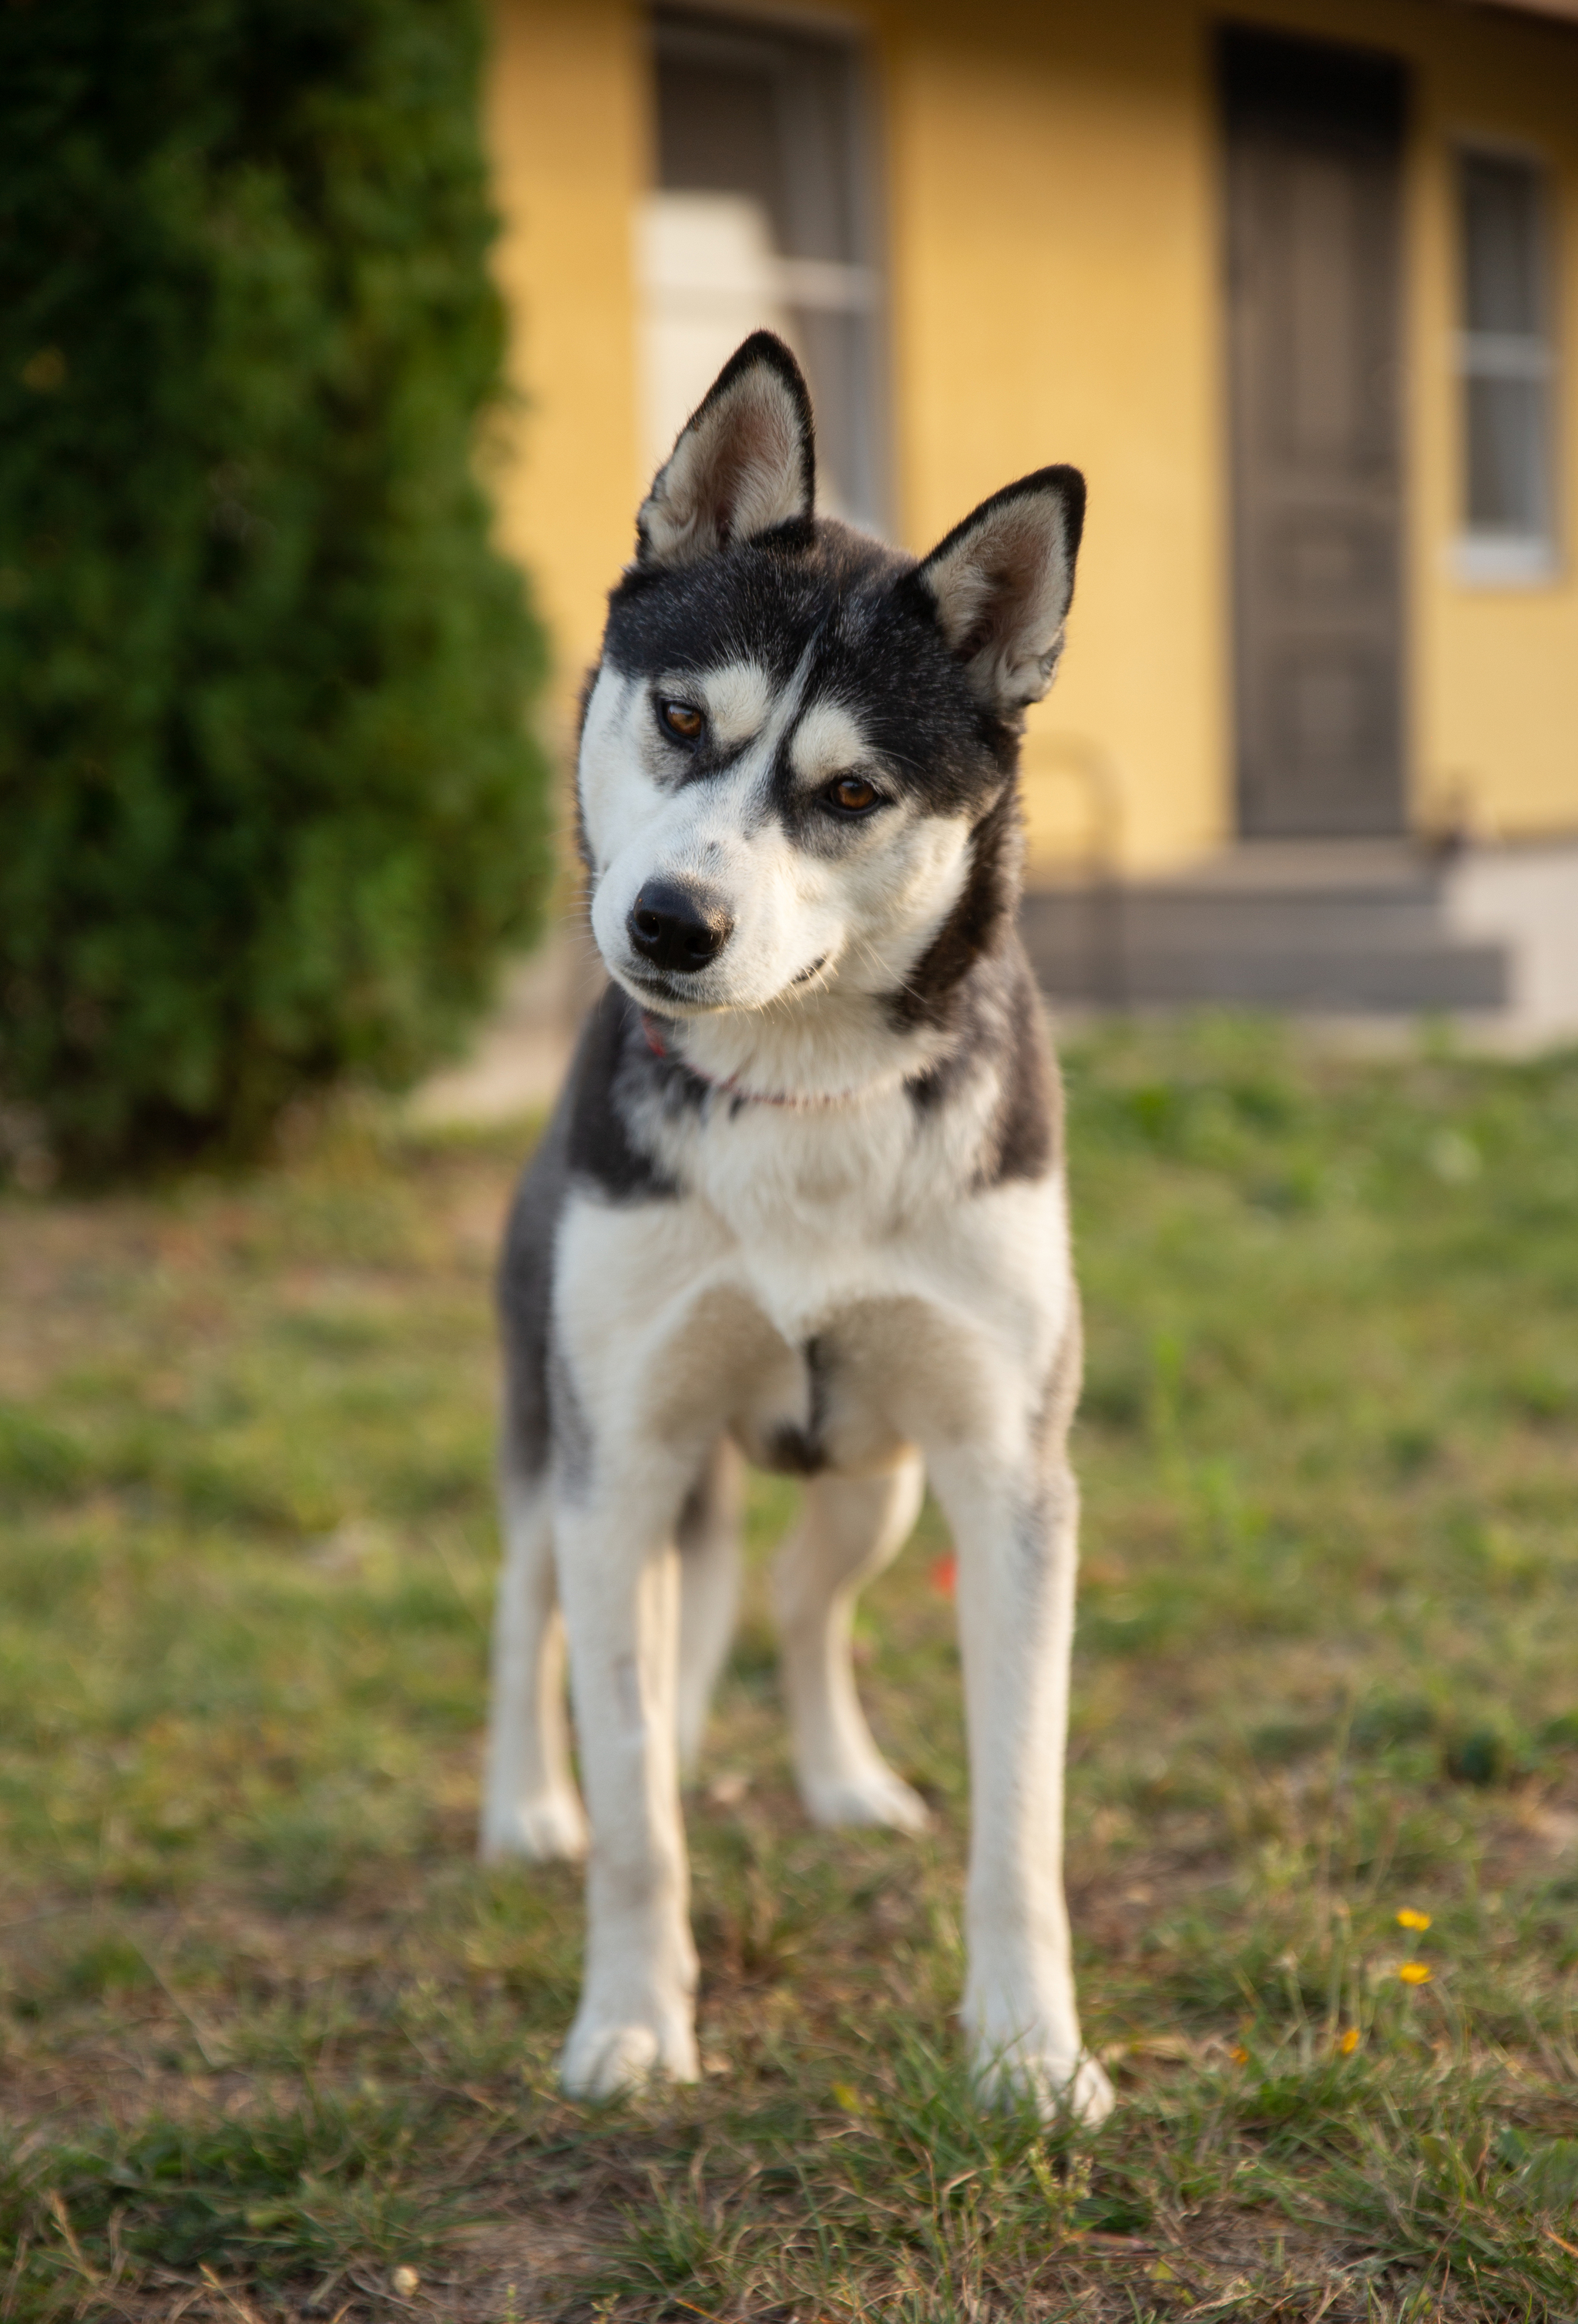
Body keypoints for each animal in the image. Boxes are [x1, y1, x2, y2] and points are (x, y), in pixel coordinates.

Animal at [481, 332, 1110, 2128]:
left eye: (850, 791)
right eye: (683, 715)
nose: (669, 922)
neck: (800, 1096)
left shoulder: (1006, 1470)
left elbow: (1019, 1816)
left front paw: (1030, 2051)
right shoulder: (616, 1456)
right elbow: (635, 1810)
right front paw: (630, 2023)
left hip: (878, 1482)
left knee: (793, 1599)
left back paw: (837, 1779)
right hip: (551, 1427)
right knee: (531, 1619)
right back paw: (521, 1806)